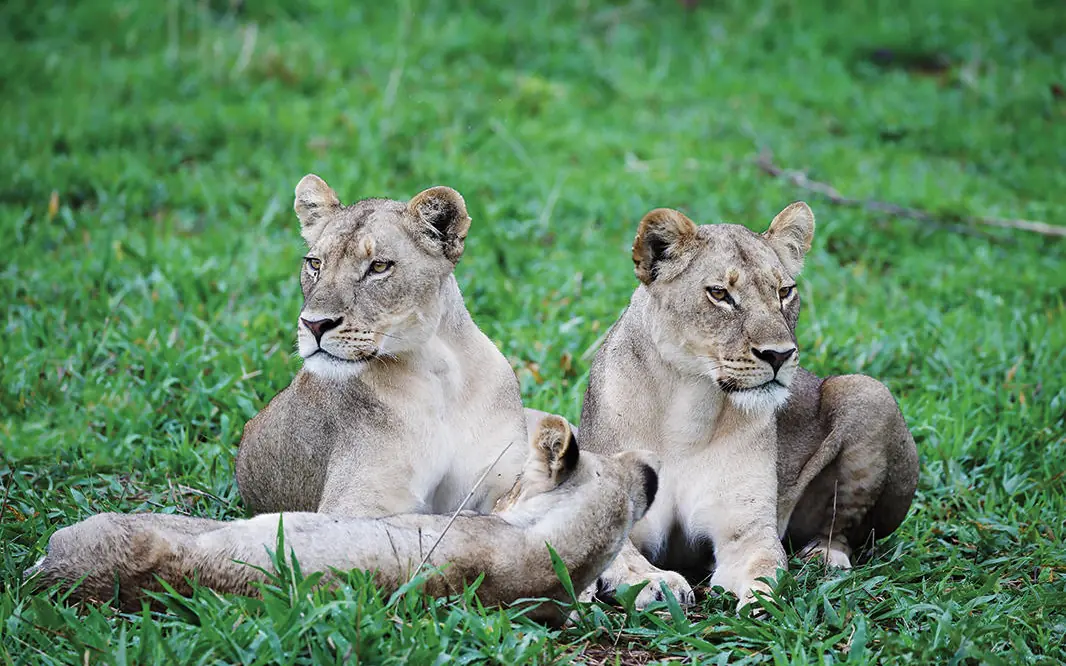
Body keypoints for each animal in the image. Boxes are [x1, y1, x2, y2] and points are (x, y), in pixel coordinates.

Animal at [570, 202, 919, 611]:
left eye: (785, 291)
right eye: (719, 293)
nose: (779, 355)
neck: (688, 408)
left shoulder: (746, 530)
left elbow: (766, 564)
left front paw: (763, 602)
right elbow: (619, 553)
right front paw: (657, 583)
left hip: (870, 391)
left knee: (844, 528)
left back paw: (824, 556)